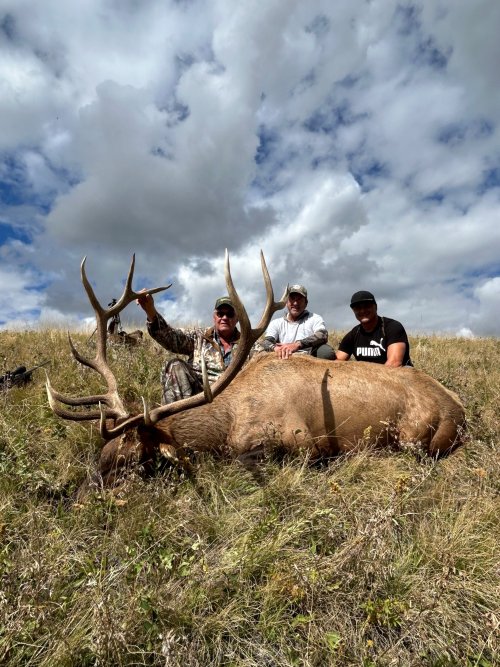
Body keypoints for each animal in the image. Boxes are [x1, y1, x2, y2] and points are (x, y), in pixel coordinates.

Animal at [46, 252, 466, 488]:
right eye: (100, 453)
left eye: (127, 459)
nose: (81, 494)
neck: (229, 423)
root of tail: (459, 410)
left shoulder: (301, 441)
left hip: (416, 437)